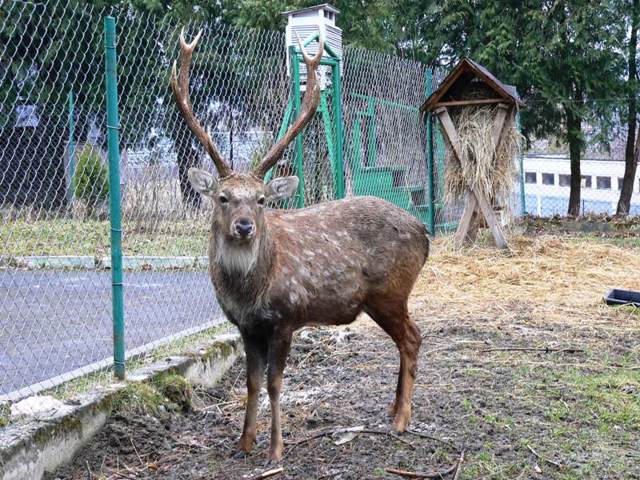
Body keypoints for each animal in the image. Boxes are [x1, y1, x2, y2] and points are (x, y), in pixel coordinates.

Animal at [172, 29, 428, 462]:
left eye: (261, 199)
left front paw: (276, 449)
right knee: (405, 340)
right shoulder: (245, 326)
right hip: (381, 300)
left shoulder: (286, 316)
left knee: (412, 338)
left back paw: (402, 420)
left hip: (391, 291)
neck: (249, 293)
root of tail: (425, 233)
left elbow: (275, 383)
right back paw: (392, 408)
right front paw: (243, 442)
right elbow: (252, 382)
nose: (244, 226)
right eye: (223, 197)